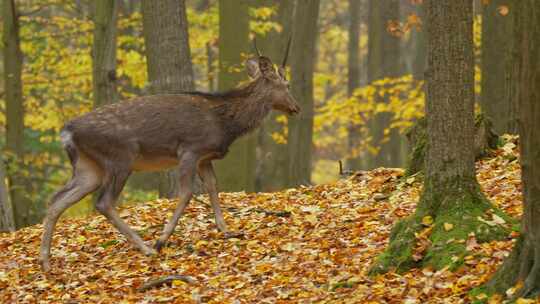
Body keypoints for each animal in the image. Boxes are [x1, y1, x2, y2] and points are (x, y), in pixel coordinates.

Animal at [39, 40, 300, 270]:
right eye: (286, 85)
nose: (296, 107)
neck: (226, 124)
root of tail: (67, 132)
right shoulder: (190, 149)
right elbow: (186, 193)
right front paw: (162, 239)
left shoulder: (205, 157)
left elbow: (213, 186)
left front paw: (226, 230)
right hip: (121, 158)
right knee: (104, 202)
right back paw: (146, 248)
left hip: (89, 167)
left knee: (56, 200)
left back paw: (45, 262)